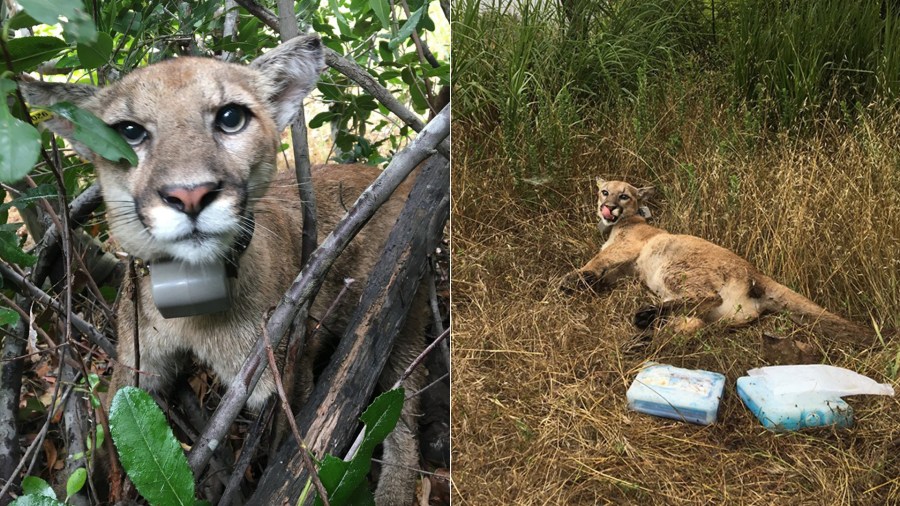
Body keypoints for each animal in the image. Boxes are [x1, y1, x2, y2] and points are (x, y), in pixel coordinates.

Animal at [23, 36, 426, 506]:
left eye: (231, 118)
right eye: (129, 131)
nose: (190, 194)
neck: (193, 307)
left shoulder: (284, 379)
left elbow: (293, 457)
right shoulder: (135, 366)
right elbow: (105, 431)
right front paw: (74, 485)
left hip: (399, 308)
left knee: (404, 411)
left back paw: (393, 490)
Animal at [564, 178, 872, 344]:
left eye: (624, 196)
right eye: (605, 191)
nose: (608, 208)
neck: (624, 223)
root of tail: (755, 272)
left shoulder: (628, 249)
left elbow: (598, 259)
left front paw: (572, 278)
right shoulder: (628, 267)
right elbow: (604, 273)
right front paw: (588, 283)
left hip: (674, 270)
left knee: (707, 298)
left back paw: (646, 317)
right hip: (720, 313)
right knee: (694, 326)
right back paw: (646, 336)